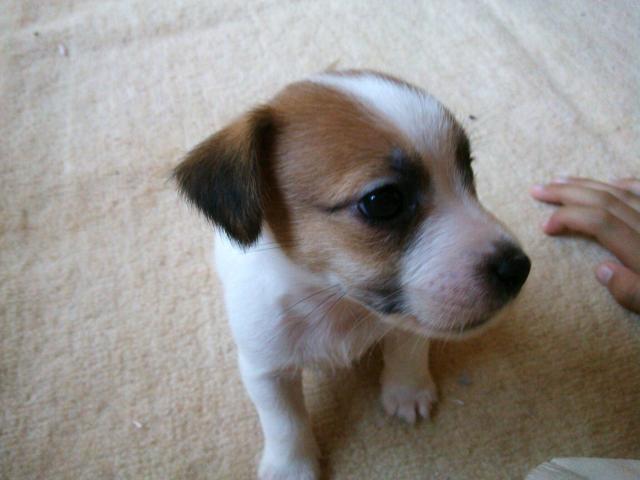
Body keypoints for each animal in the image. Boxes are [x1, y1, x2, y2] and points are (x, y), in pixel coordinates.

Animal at [174, 70, 531, 479]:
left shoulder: (408, 322)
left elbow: (407, 351)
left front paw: (407, 390)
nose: (518, 267)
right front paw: (291, 466)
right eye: (382, 201)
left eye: (468, 170)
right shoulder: (266, 368)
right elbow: (285, 421)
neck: (337, 303)